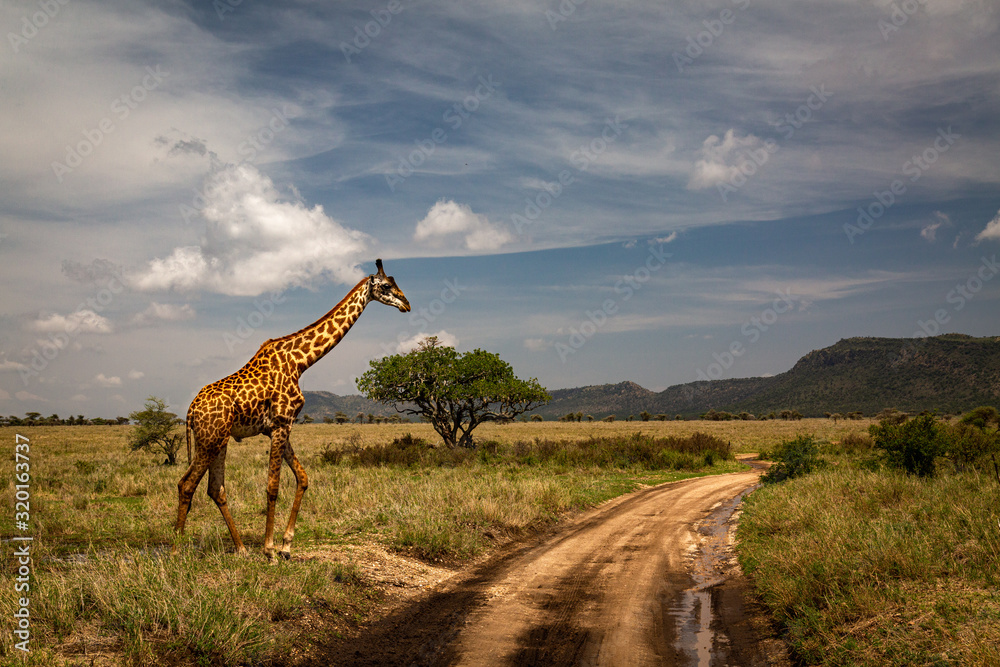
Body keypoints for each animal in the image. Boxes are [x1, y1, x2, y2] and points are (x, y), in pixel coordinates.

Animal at [174, 259, 410, 560]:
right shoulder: (281, 423)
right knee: (187, 484)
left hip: (218, 440)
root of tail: (191, 410)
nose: (406, 304)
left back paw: (241, 548)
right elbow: (273, 486)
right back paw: (175, 551)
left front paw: (286, 545)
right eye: (387, 286)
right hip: (209, 439)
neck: (300, 362)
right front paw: (270, 550)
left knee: (215, 489)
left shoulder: (281, 427)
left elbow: (303, 478)